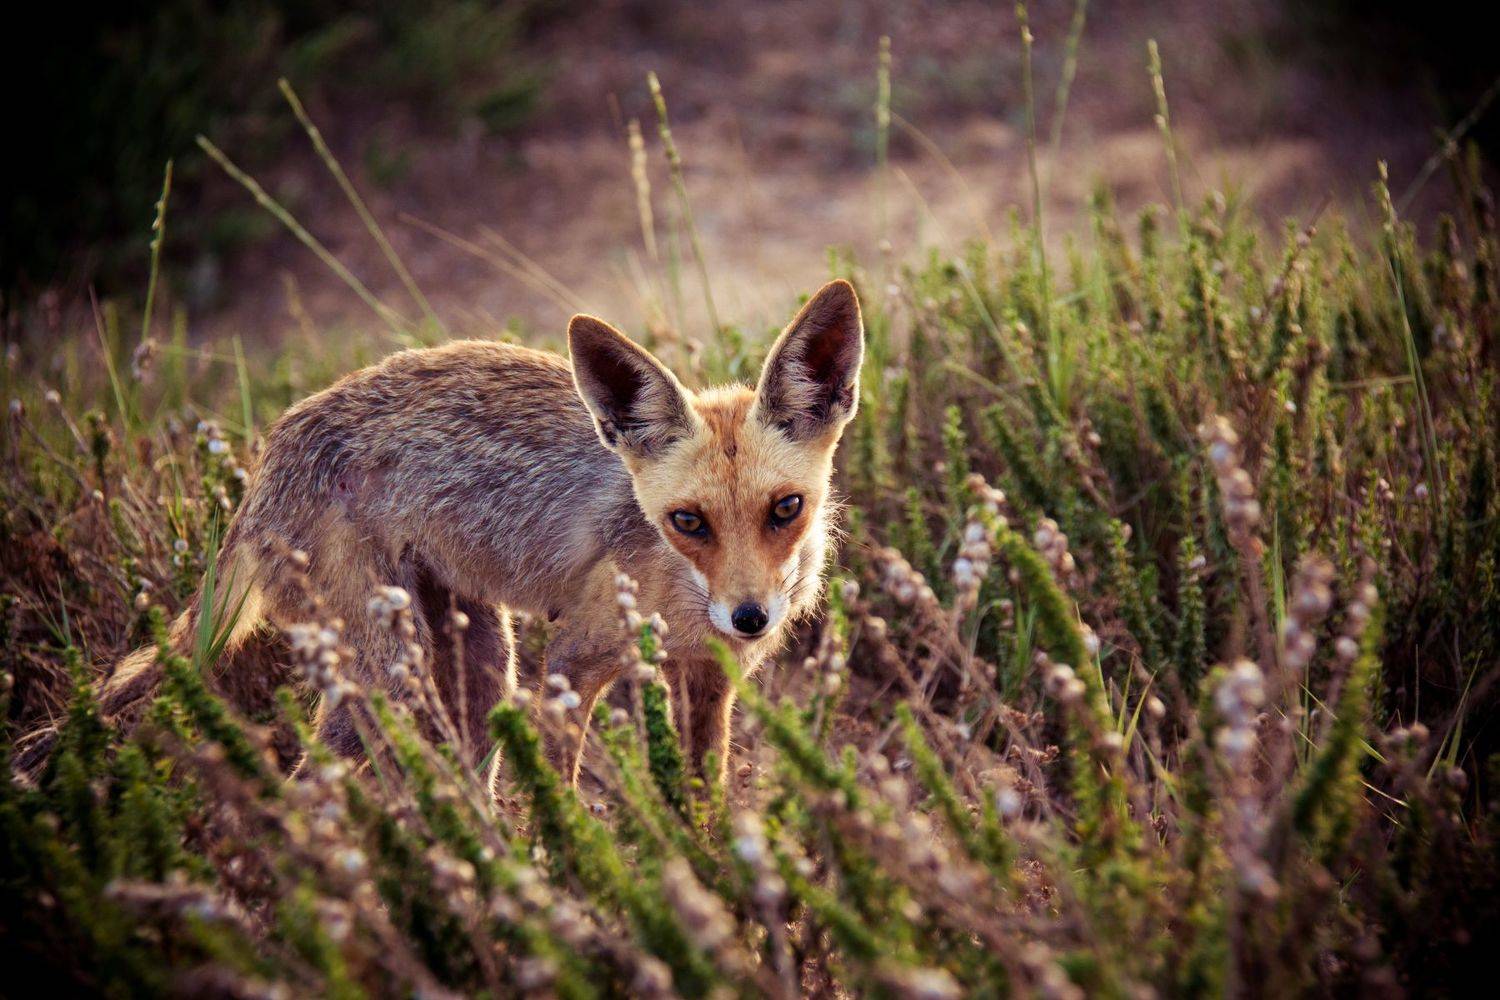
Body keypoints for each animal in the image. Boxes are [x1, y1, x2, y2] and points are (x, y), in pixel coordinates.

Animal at [68, 279, 864, 787]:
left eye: (785, 509)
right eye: (688, 522)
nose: (750, 617)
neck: (682, 598)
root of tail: (268, 457)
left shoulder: (708, 679)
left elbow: (703, 807)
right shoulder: (570, 666)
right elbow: (560, 804)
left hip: (477, 664)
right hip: (401, 674)